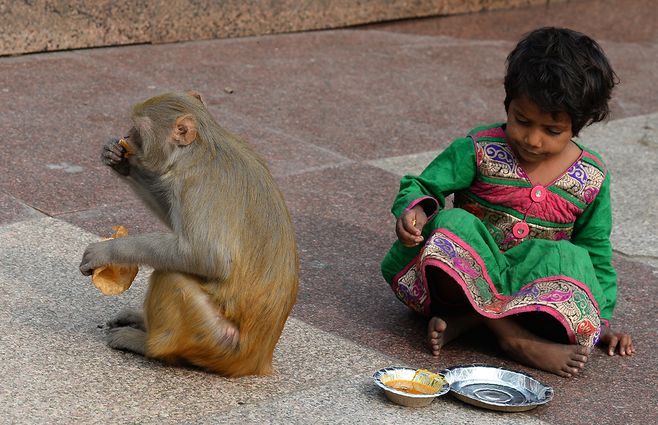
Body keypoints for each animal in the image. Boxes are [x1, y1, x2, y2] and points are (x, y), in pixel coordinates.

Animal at [80, 91, 299, 377]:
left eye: (137, 129)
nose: (126, 135)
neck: (199, 150)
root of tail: (256, 361)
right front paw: (120, 162)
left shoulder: (196, 184)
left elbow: (204, 255)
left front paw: (108, 251)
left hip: (217, 342)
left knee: (171, 275)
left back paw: (145, 344)